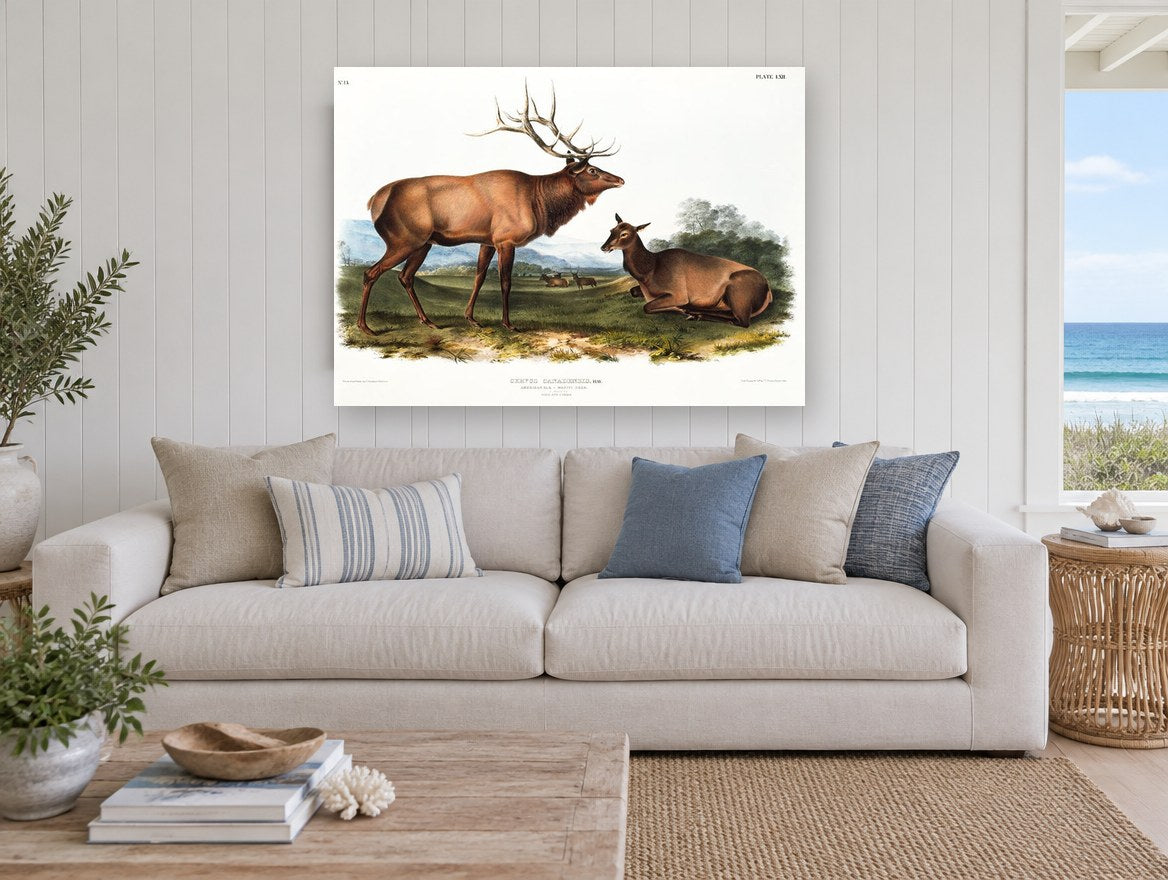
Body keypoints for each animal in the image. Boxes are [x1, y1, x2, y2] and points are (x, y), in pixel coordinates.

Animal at [358, 86, 623, 334]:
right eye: (592, 170)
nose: (620, 179)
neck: (540, 202)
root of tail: (374, 200)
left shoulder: (487, 241)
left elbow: (479, 277)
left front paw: (471, 318)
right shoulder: (506, 239)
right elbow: (505, 282)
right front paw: (508, 323)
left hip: (423, 243)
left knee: (405, 276)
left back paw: (427, 321)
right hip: (403, 239)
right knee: (372, 272)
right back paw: (365, 326)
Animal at [600, 214, 773, 328]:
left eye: (624, 234)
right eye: (611, 230)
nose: (604, 247)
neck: (649, 271)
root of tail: (769, 290)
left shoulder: (679, 293)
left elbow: (647, 307)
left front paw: (681, 309)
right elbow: (633, 292)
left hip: (737, 291)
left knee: (742, 321)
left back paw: (695, 313)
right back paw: (696, 313)